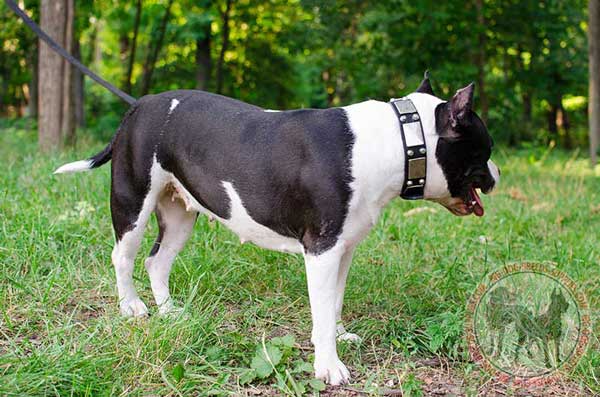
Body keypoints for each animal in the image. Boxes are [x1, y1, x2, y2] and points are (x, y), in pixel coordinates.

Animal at [55, 76, 496, 386]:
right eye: (487, 149)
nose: (497, 172)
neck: (400, 140)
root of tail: (139, 105)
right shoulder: (322, 250)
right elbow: (322, 308)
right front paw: (328, 366)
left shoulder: (343, 249)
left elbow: (334, 302)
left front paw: (337, 336)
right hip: (134, 199)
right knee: (124, 256)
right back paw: (132, 307)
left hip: (180, 213)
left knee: (157, 261)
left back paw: (170, 312)